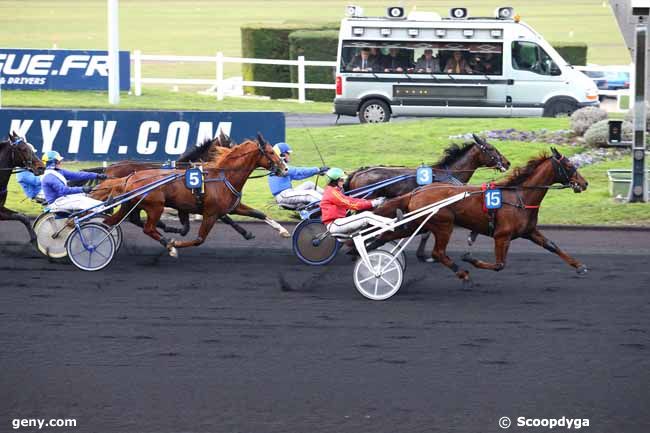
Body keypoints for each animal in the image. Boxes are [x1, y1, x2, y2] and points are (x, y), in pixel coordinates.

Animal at [103, 135, 286, 255]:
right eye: (270, 152)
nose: (285, 169)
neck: (223, 177)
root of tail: (128, 178)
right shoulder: (211, 213)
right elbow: (199, 238)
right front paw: (174, 242)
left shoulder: (231, 207)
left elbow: (258, 213)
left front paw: (282, 231)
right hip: (155, 207)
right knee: (147, 227)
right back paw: (168, 243)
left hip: (131, 204)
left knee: (113, 222)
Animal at [370, 148, 588, 280]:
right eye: (569, 166)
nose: (584, 183)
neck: (520, 197)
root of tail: (417, 191)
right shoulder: (502, 236)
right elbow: (499, 264)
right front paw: (470, 259)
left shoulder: (529, 231)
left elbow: (552, 245)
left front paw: (579, 265)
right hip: (443, 224)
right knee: (438, 253)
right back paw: (462, 272)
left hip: (418, 222)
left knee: (388, 235)